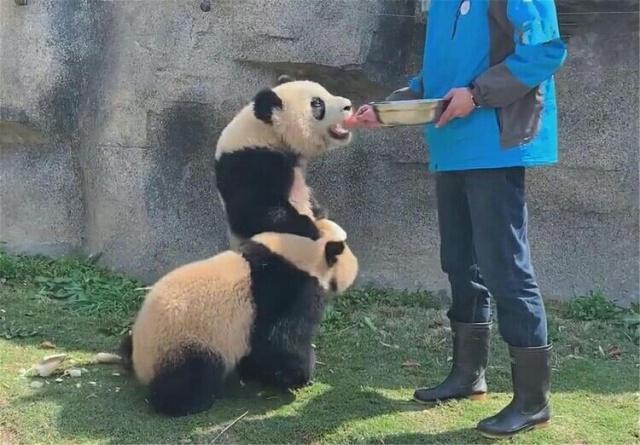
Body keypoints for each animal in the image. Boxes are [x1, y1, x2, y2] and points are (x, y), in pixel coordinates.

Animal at [119, 231, 358, 414]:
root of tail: (141, 364)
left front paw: (255, 372)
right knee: (194, 375)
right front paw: (300, 376)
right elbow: (279, 340)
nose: (355, 272)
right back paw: (188, 403)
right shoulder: (284, 290)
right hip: (186, 342)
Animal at [215, 75, 356, 246]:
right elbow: (253, 214)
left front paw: (319, 211)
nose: (348, 105)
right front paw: (310, 228)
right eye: (317, 103)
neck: (268, 133)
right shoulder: (249, 164)